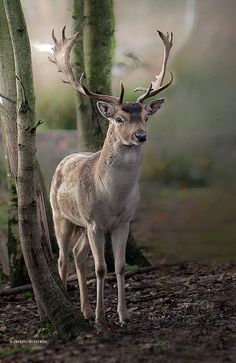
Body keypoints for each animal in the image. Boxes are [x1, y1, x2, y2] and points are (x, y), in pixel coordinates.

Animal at [48, 26, 172, 328]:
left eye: (146, 117)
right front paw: (102, 319)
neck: (113, 197)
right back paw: (72, 305)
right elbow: (101, 268)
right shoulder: (94, 222)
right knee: (63, 258)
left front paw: (123, 316)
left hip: (81, 225)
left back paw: (84, 309)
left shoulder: (123, 222)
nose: (141, 136)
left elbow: (119, 266)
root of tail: (65, 159)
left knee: (78, 255)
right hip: (60, 215)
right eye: (118, 119)